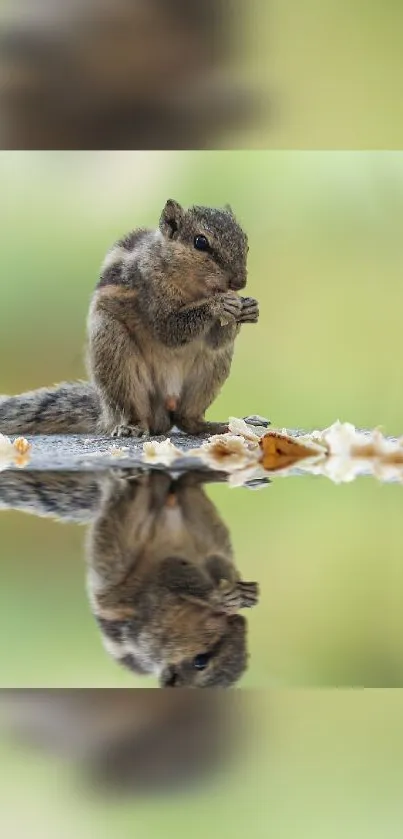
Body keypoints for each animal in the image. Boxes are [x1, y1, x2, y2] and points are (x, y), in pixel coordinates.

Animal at [0, 199, 258, 440]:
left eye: (245, 241)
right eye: (200, 242)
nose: (239, 282)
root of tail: (107, 415)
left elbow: (215, 342)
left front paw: (249, 308)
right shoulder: (150, 290)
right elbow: (169, 330)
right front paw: (219, 304)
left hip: (211, 371)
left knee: (187, 419)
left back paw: (214, 426)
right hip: (115, 356)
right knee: (133, 410)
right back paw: (132, 427)